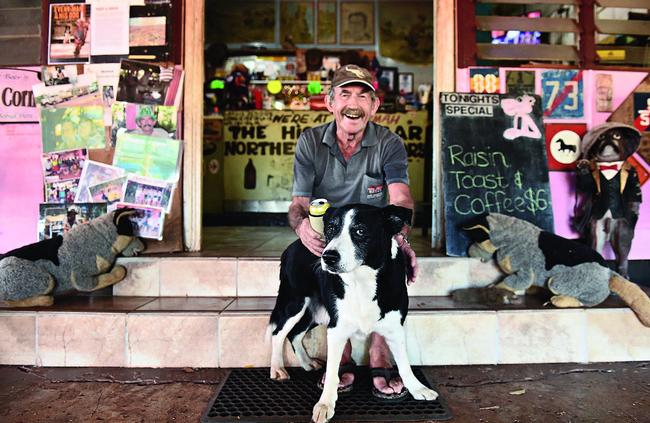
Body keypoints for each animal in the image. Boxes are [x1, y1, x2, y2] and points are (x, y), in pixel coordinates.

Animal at [268, 204, 436, 422]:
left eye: (360, 231)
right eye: (331, 229)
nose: (327, 257)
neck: (362, 279)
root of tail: (293, 245)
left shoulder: (394, 327)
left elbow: (404, 363)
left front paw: (417, 388)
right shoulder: (336, 329)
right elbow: (332, 371)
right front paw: (325, 404)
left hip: (317, 311)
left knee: (295, 333)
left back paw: (307, 363)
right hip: (295, 303)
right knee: (278, 333)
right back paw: (277, 368)